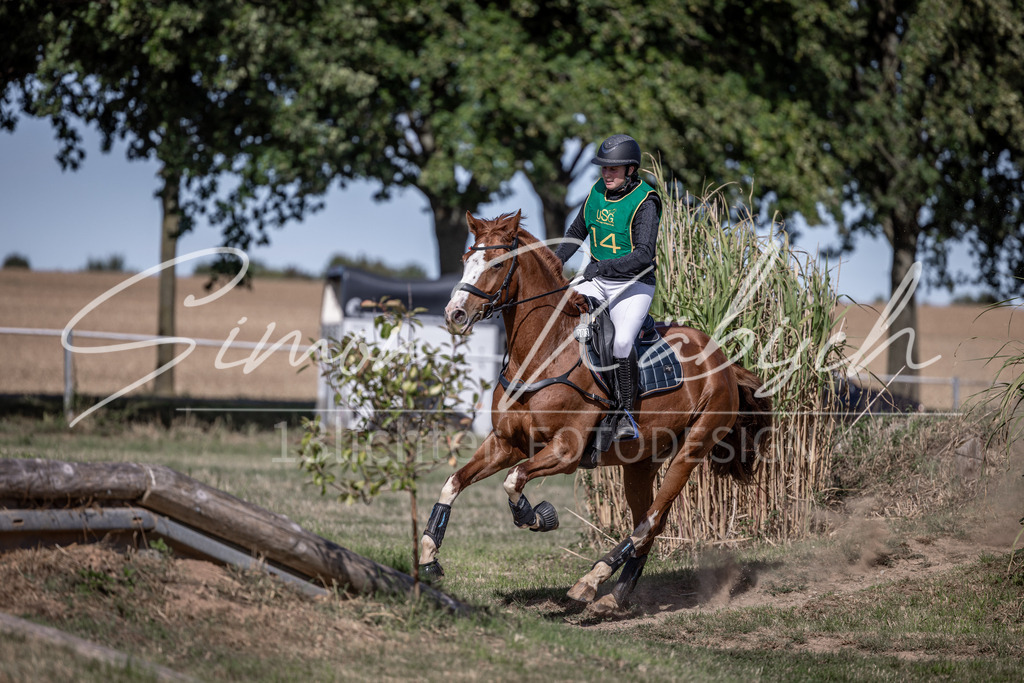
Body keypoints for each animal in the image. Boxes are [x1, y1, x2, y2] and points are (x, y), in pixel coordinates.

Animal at [418, 210, 772, 615]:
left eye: (497, 264)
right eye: (466, 260)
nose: (454, 314)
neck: (541, 354)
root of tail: (724, 361)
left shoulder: (566, 452)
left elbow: (514, 480)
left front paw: (536, 516)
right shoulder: (507, 442)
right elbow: (455, 481)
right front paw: (428, 556)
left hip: (691, 449)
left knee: (650, 521)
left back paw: (589, 581)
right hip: (641, 463)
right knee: (649, 522)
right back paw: (614, 596)